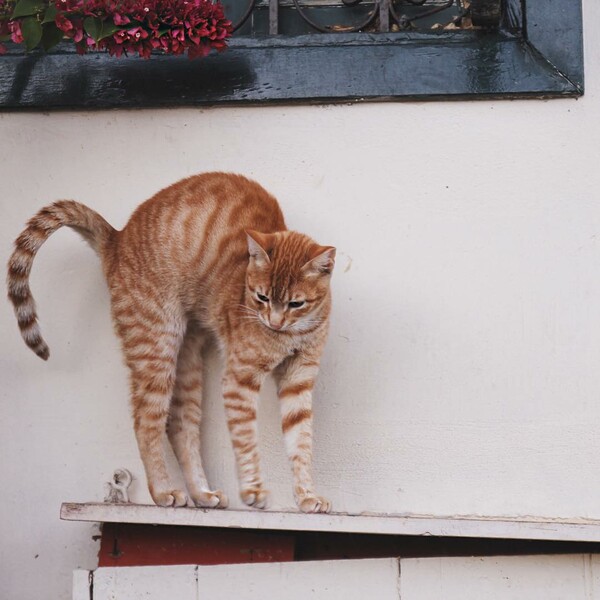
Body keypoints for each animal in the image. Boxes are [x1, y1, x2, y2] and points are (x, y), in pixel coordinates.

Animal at [8, 172, 332, 510]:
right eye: (262, 297)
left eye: (296, 303)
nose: (274, 321)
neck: (292, 333)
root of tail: (116, 238)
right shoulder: (239, 379)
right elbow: (246, 440)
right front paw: (253, 490)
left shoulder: (298, 380)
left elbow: (301, 443)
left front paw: (307, 496)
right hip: (158, 347)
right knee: (145, 420)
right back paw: (163, 491)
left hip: (187, 359)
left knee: (179, 424)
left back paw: (202, 493)